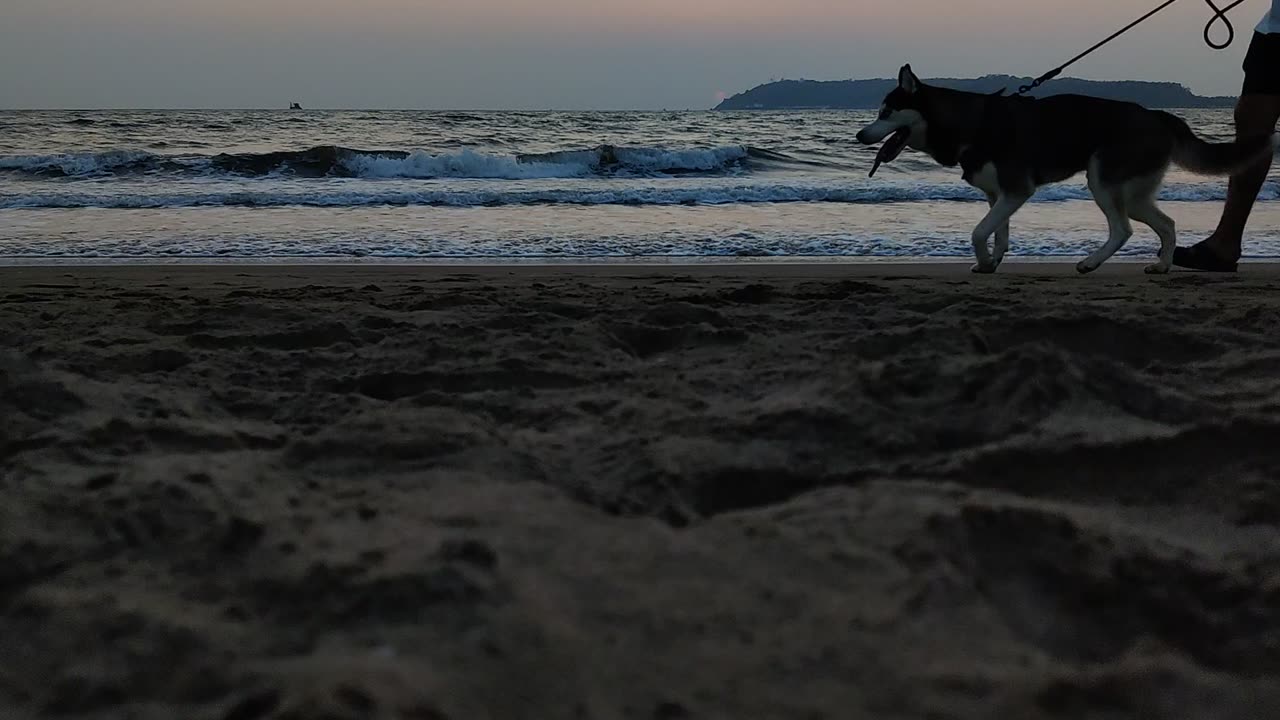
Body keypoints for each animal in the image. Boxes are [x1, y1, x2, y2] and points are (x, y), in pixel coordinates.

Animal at [855, 65, 1274, 272]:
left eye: (886, 112)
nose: (859, 135)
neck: (970, 123)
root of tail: (1158, 115)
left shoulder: (1017, 190)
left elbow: (978, 232)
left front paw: (985, 259)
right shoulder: (998, 195)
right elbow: (997, 233)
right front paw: (992, 262)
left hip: (1102, 182)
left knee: (1122, 229)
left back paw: (1091, 262)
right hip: (1134, 193)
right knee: (1167, 224)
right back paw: (1162, 266)